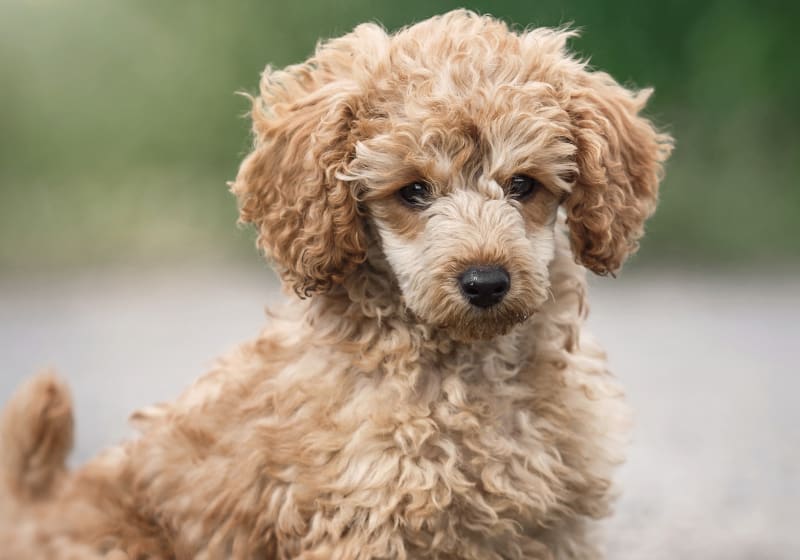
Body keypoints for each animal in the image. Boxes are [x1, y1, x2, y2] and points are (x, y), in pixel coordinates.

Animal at [0, 9, 668, 560]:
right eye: (413, 191)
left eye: (524, 185)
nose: (485, 281)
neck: (465, 371)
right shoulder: (366, 518)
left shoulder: (548, 526)